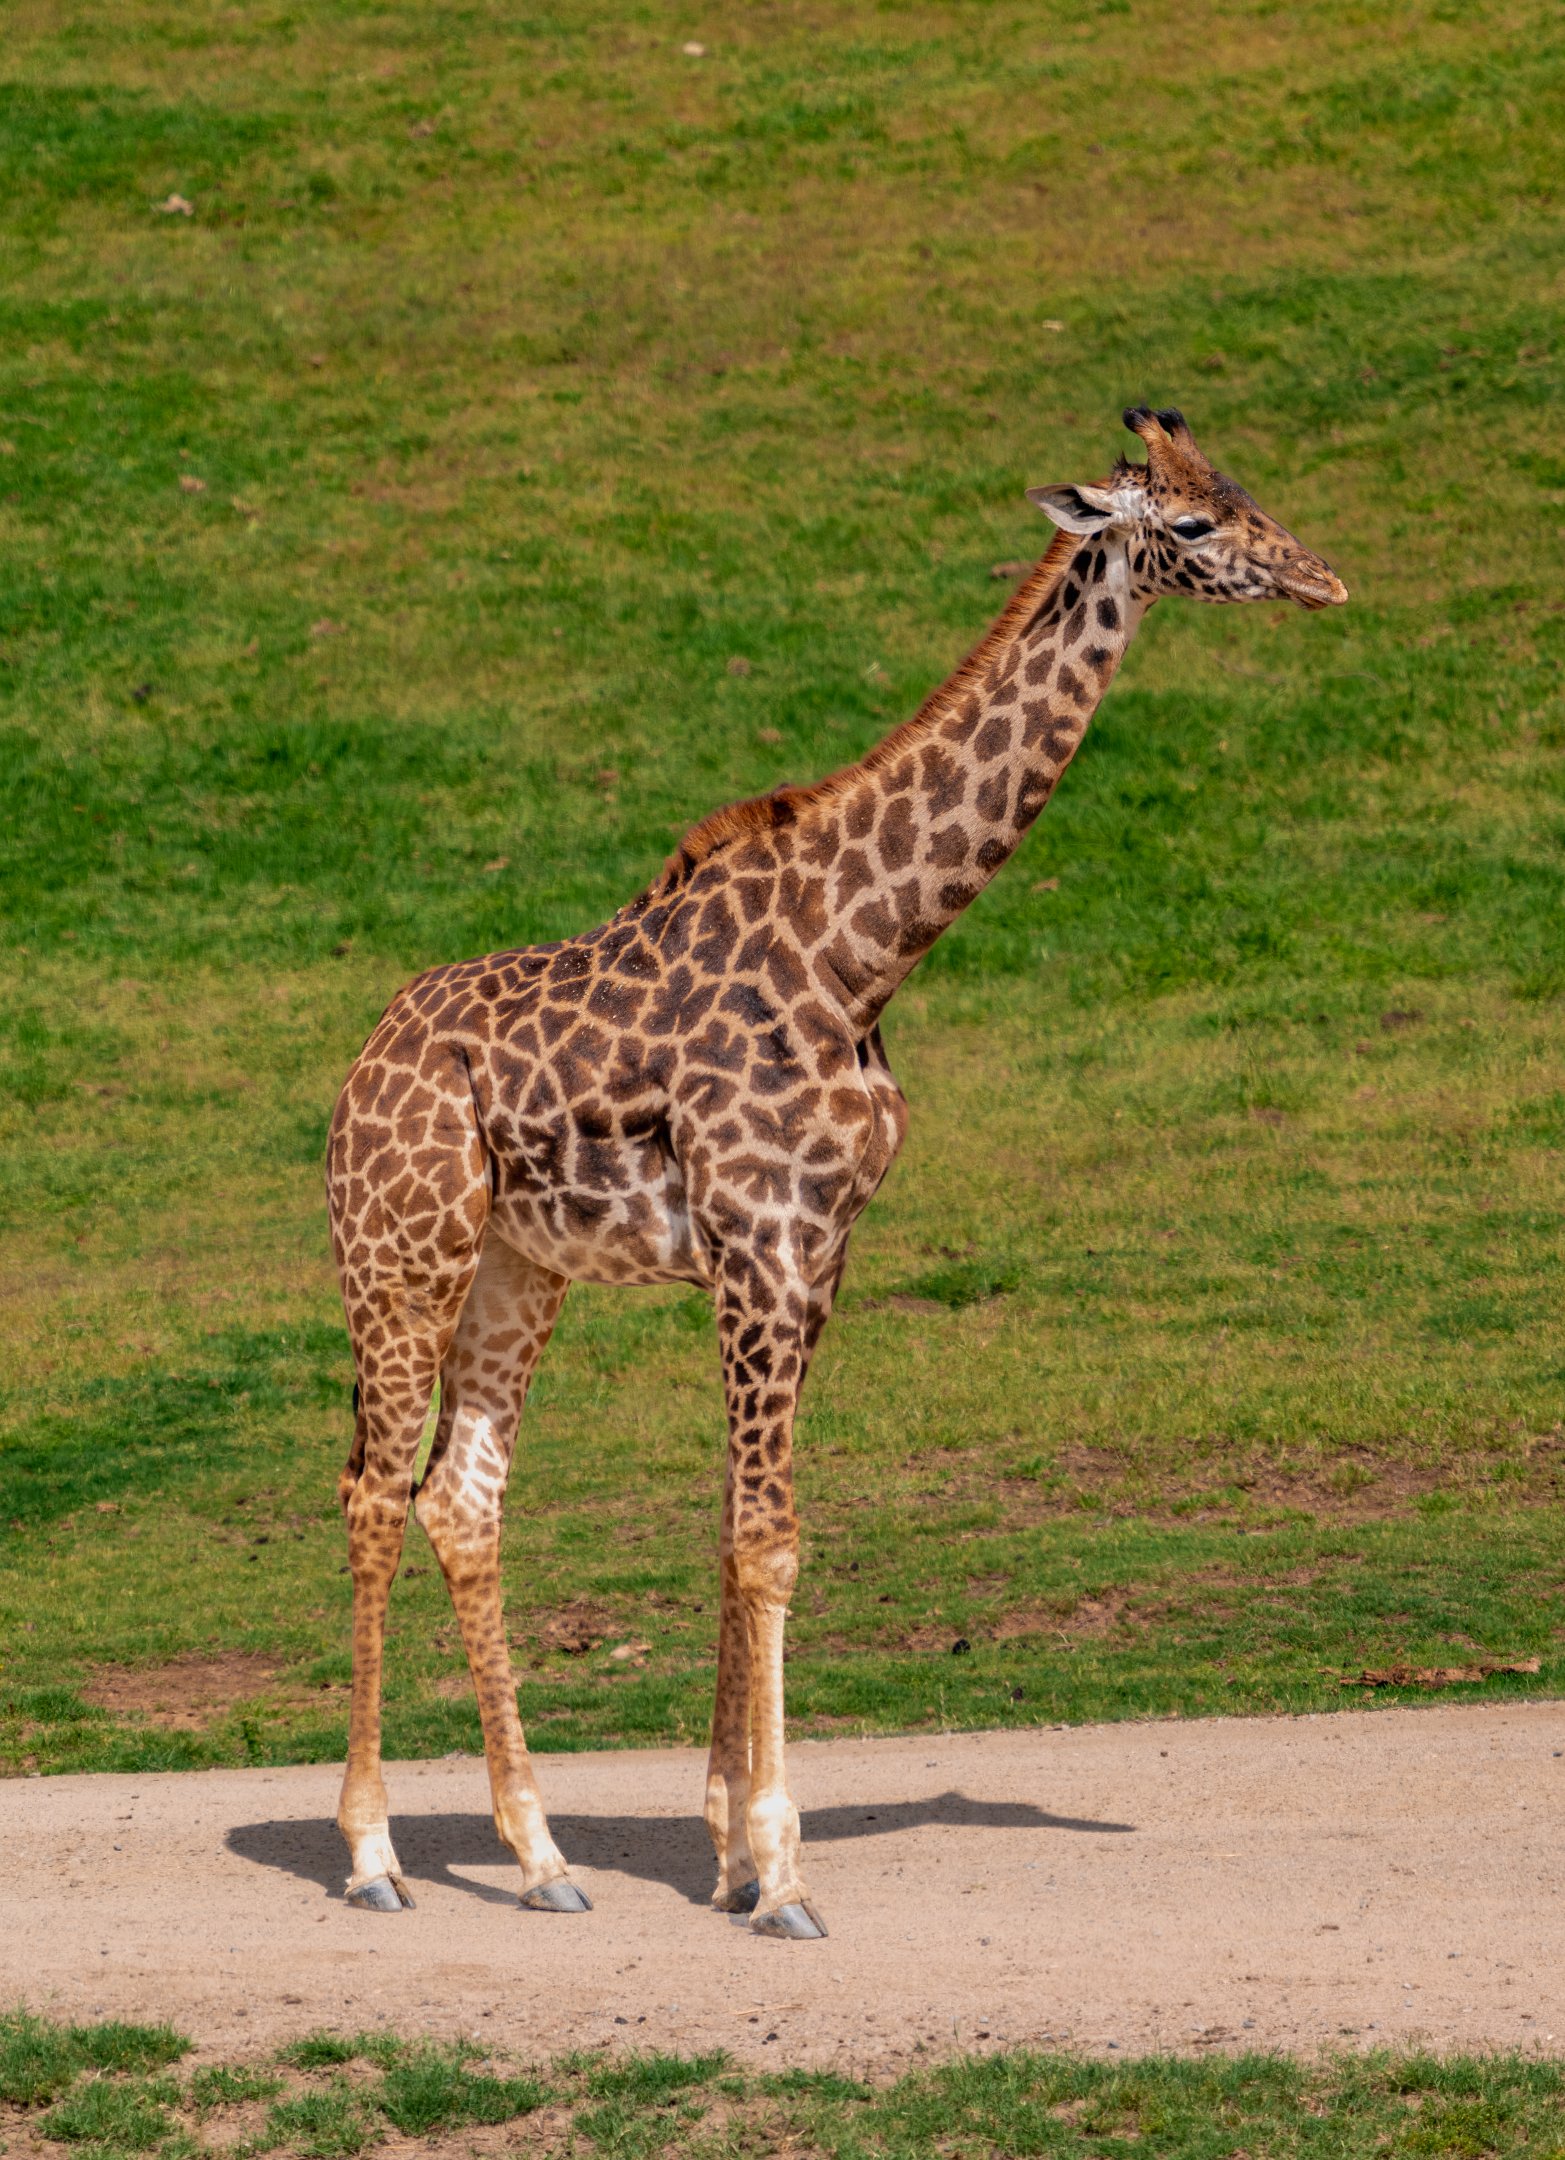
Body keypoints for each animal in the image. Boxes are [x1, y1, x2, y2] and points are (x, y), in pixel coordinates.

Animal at [326, 406, 1346, 1937]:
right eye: (1192, 523)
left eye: (1244, 489)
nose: (1324, 581)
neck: (861, 951)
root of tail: (356, 1073)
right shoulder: (755, 1237)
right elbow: (767, 1539)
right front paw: (783, 1874)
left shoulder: (816, 1251)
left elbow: (741, 1527)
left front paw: (728, 1856)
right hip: (402, 1261)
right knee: (375, 1496)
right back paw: (376, 1856)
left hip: (519, 1269)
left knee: (461, 1500)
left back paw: (544, 1858)